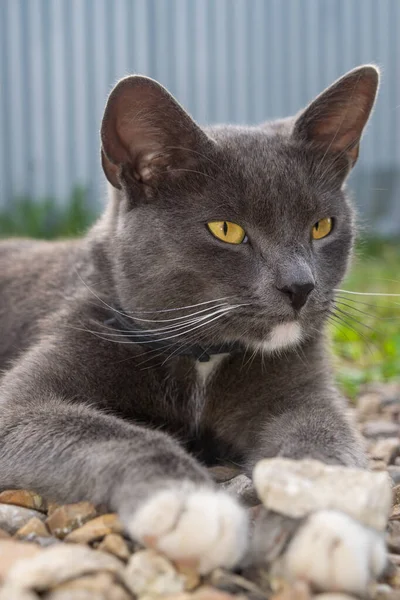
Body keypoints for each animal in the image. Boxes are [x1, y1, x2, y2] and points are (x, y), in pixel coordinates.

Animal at [0, 65, 384, 580]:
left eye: (322, 226)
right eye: (227, 230)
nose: (301, 286)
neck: (205, 357)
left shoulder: (302, 389)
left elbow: (324, 441)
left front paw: (331, 530)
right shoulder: (26, 395)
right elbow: (105, 431)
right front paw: (190, 506)